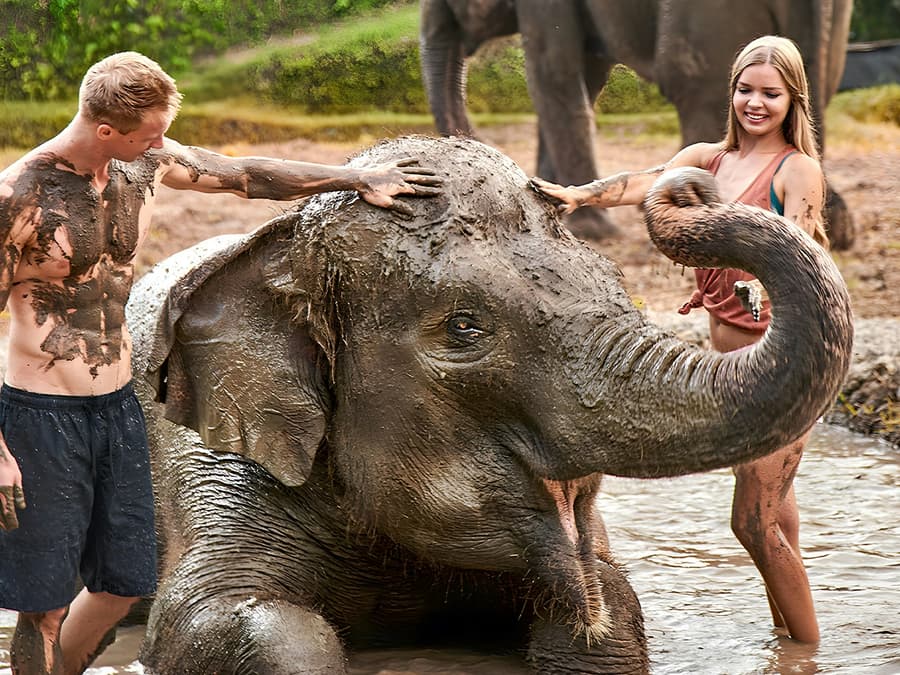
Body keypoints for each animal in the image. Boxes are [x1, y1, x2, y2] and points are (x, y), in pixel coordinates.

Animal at [127, 135, 853, 674]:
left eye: (614, 281)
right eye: (465, 328)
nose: (689, 186)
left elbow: (612, 601)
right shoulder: (212, 458)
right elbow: (217, 619)